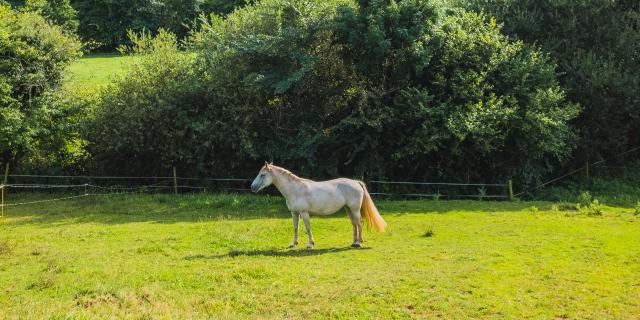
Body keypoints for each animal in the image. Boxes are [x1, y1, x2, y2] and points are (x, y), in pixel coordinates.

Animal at [250, 161, 384, 249]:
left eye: (262, 175)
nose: (252, 187)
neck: (295, 189)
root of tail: (355, 182)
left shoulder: (304, 213)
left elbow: (308, 228)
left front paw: (310, 244)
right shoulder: (294, 213)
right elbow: (295, 228)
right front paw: (293, 243)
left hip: (355, 209)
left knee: (359, 223)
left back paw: (359, 243)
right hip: (348, 209)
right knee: (354, 224)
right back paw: (354, 242)